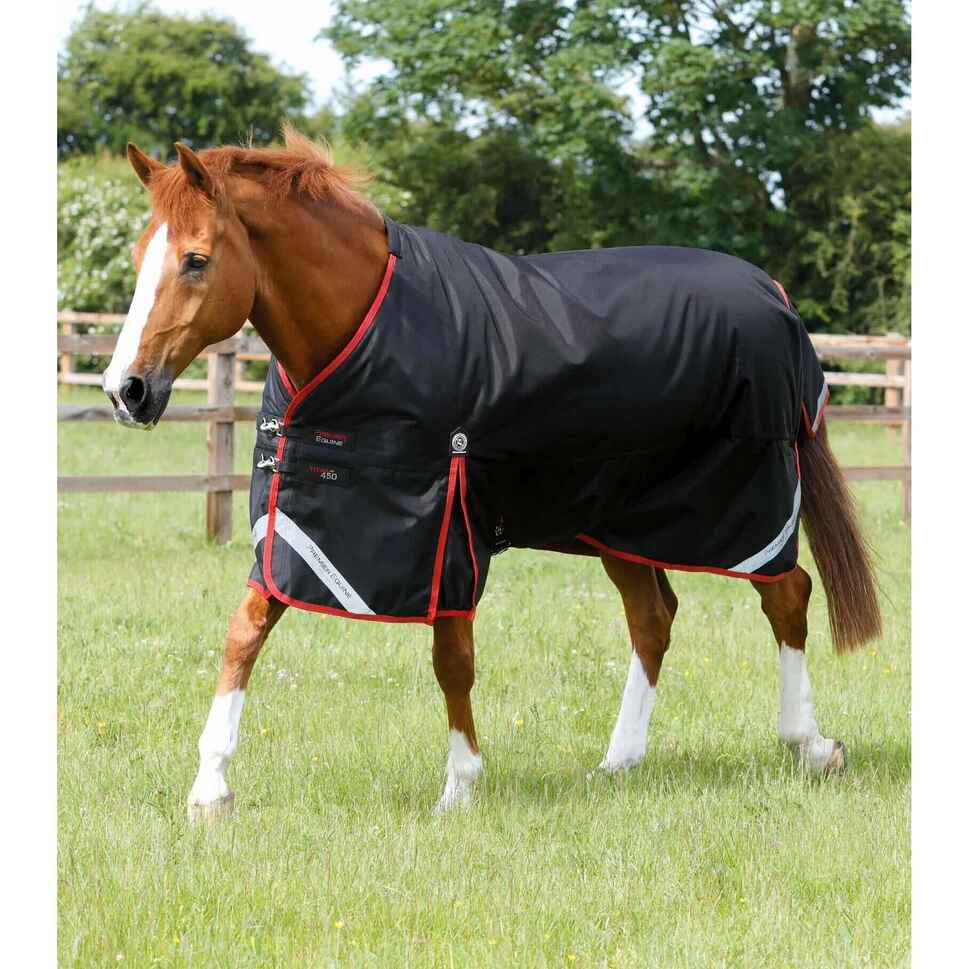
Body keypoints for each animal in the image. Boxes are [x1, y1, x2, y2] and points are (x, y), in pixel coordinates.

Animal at [102, 128, 881, 820]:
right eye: (142, 255)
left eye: (196, 259)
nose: (125, 390)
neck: (367, 328)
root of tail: (771, 289)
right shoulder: (304, 526)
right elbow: (245, 631)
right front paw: (209, 789)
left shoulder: (445, 524)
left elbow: (452, 657)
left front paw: (460, 786)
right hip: (617, 517)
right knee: (652, 618)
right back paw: (618, 760)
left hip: (750, 501)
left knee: (786, 594)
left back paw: (812, 745)